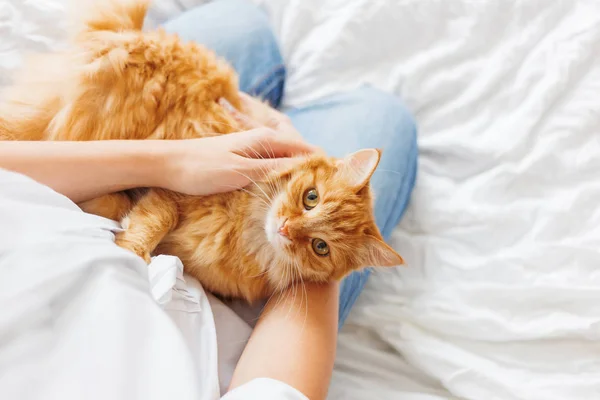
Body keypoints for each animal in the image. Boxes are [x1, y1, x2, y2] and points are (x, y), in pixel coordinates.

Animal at [1, 0, 404, 302]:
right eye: (311, 197)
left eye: (320, 247)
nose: (287, 228)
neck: (248, 233)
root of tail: (138, 36)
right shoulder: (175, 187)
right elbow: (156, 218)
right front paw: (130, 249)